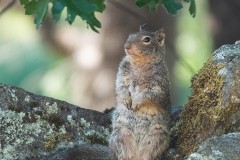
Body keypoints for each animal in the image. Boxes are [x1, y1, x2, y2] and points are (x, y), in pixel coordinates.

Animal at [109, 25, 171, 159]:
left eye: (147, 39)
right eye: (130, 35)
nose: (126, 46)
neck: (140, 62)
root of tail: (136, 155)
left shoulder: (158, 84)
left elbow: (149, 94)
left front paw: (136, 102)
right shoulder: (122, 73)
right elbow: (120, 87)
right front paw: (126, 99)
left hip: (157, 136)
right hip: (120, 133)